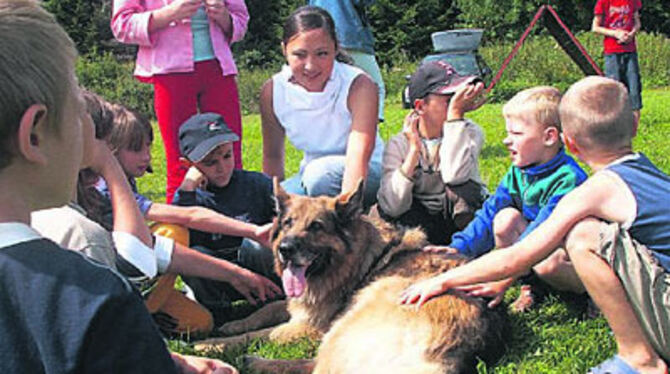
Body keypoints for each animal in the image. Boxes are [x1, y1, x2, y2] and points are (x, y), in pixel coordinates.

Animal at [197, 180, 506, 372]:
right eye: (287, 223)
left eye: (316, 226)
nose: (285, 250)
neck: (350, 259)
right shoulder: (301, 306)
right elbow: (266, 310)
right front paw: (233, 325)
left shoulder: (311, 326)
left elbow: (262, 334)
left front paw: (211, 345)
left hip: (343, 327)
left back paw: (255, 363)